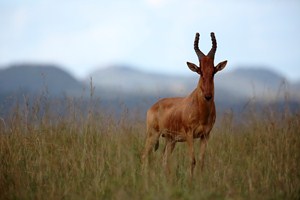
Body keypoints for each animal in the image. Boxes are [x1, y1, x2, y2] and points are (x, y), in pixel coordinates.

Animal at [141, 32, 227, 177]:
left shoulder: (205, 135)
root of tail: (153, 107)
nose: (208, 96)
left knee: (164, 160)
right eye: (200, 71)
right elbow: (192, 160)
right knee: (144, 156)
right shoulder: (189, 135)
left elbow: (201, 160)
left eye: (213, 71)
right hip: (153, 134)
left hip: (170, 140)